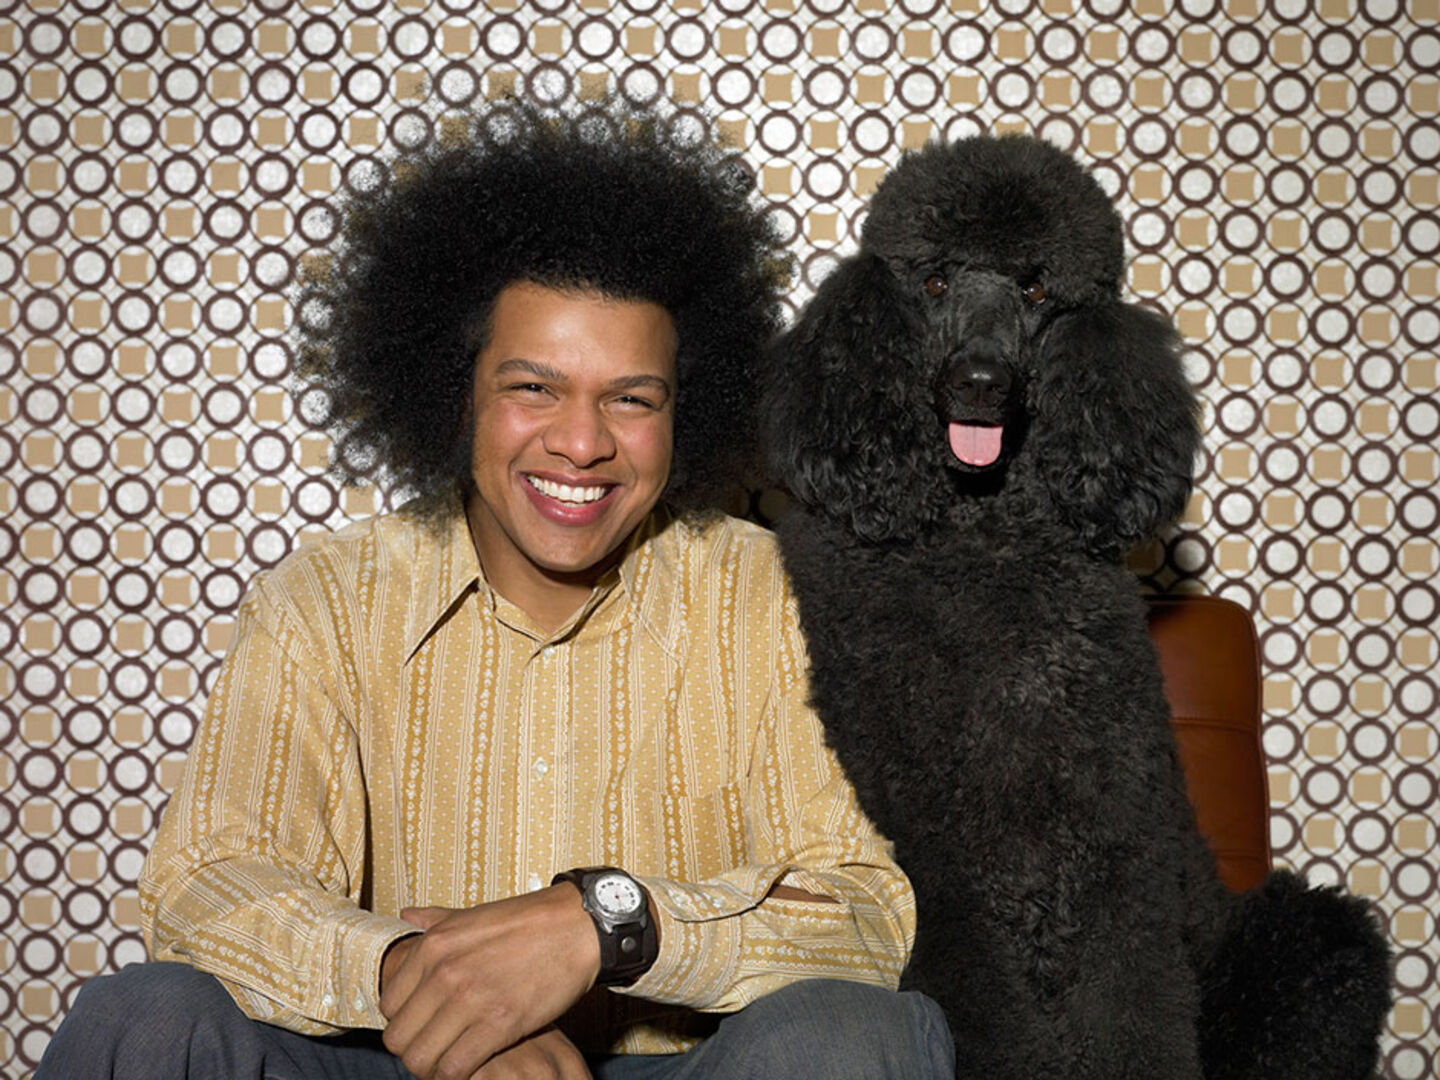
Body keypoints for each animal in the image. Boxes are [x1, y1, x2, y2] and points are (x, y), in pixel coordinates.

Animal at [765, 134, 1391, 1080]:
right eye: (935, 280)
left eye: (1035, 290)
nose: (979, 381)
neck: (984, 543)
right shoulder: (945, 865)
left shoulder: (1112, 835)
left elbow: (1126, 1003)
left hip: (1304, 947)